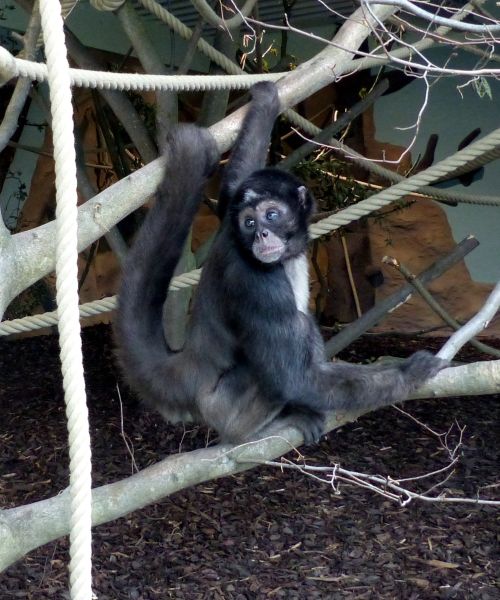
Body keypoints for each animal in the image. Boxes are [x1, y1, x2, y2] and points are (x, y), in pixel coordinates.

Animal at [114, 81, 448, 445]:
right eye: (249, 223)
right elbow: (294, 381)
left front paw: (266, 99)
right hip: (225, 406)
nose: (260, 234)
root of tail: (192, 366)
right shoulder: (255, 280)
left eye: (271, 215)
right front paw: (408, 373)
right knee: (298, 330)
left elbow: (233, 185)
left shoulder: (228, 219)